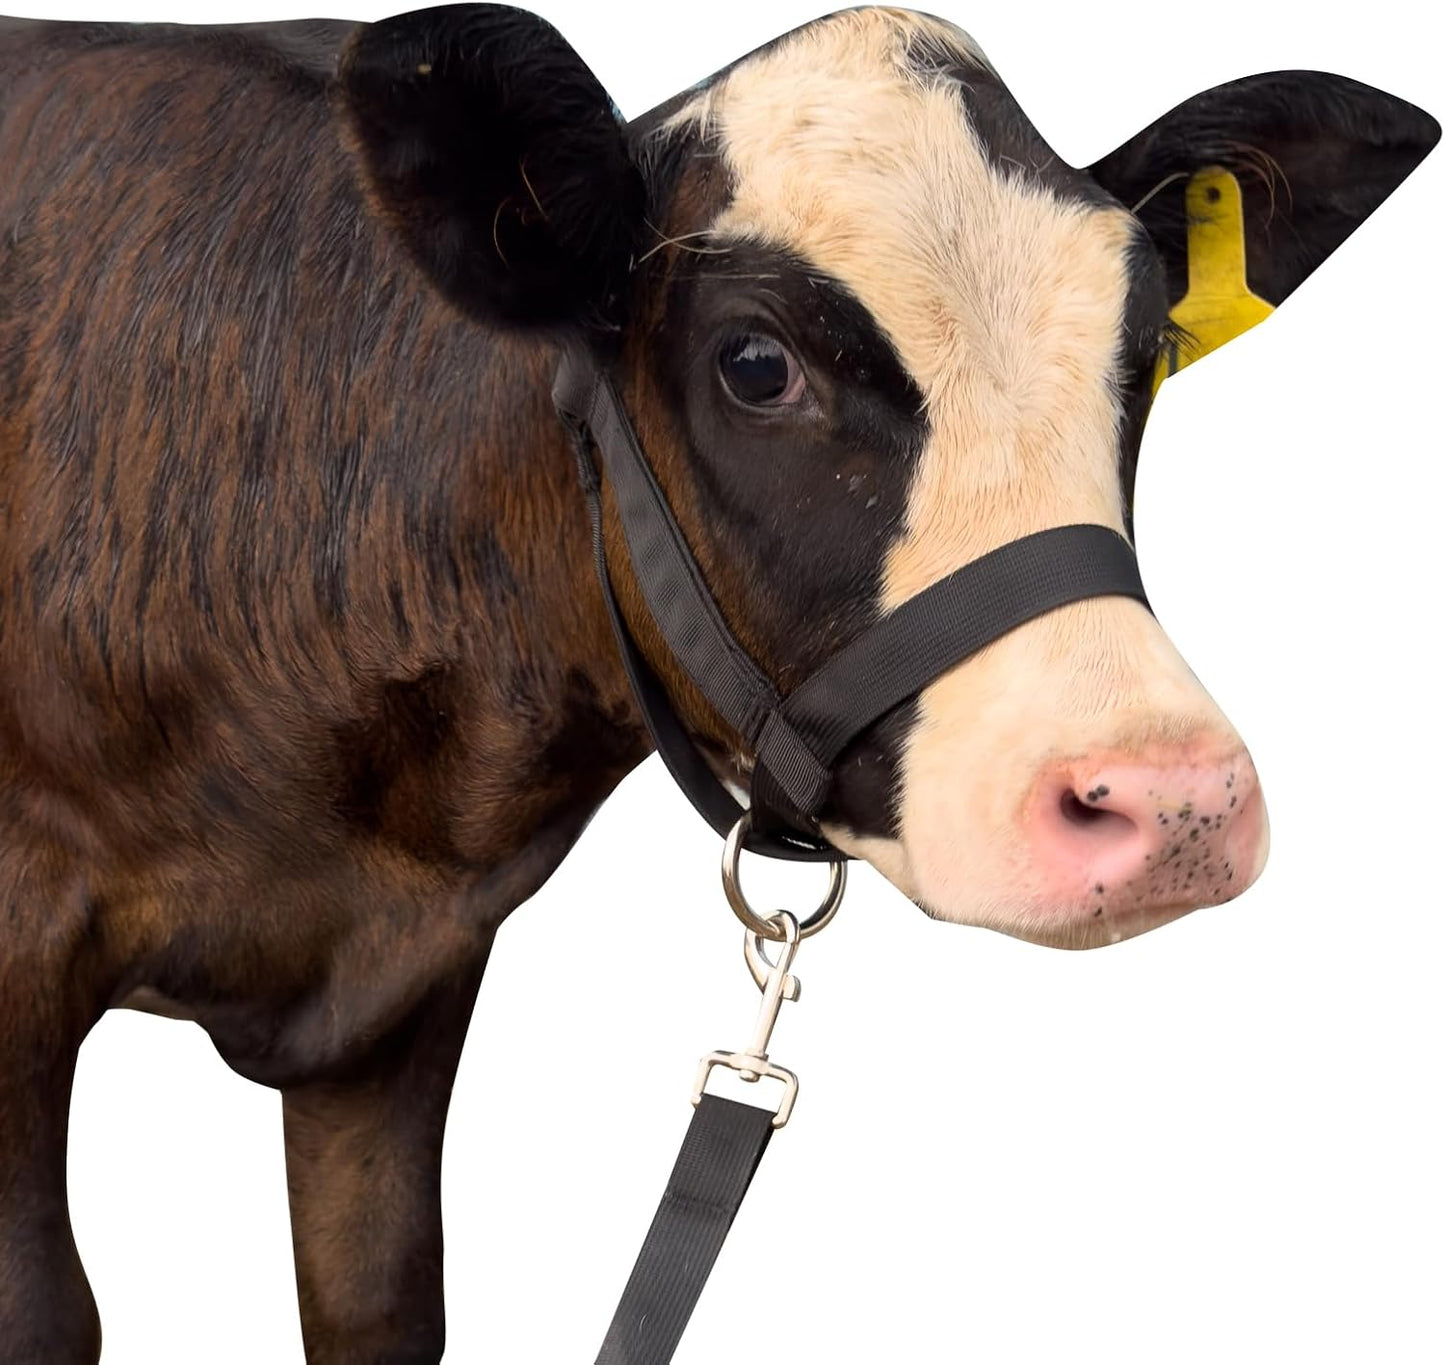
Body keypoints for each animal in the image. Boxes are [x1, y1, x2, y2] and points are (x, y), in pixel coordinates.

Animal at [0, 4, 1435, 1360]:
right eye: (755, 364)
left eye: (1141, 357)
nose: (1170, 798)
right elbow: (51, 1313)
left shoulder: (403, 987)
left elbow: (378, 1297)